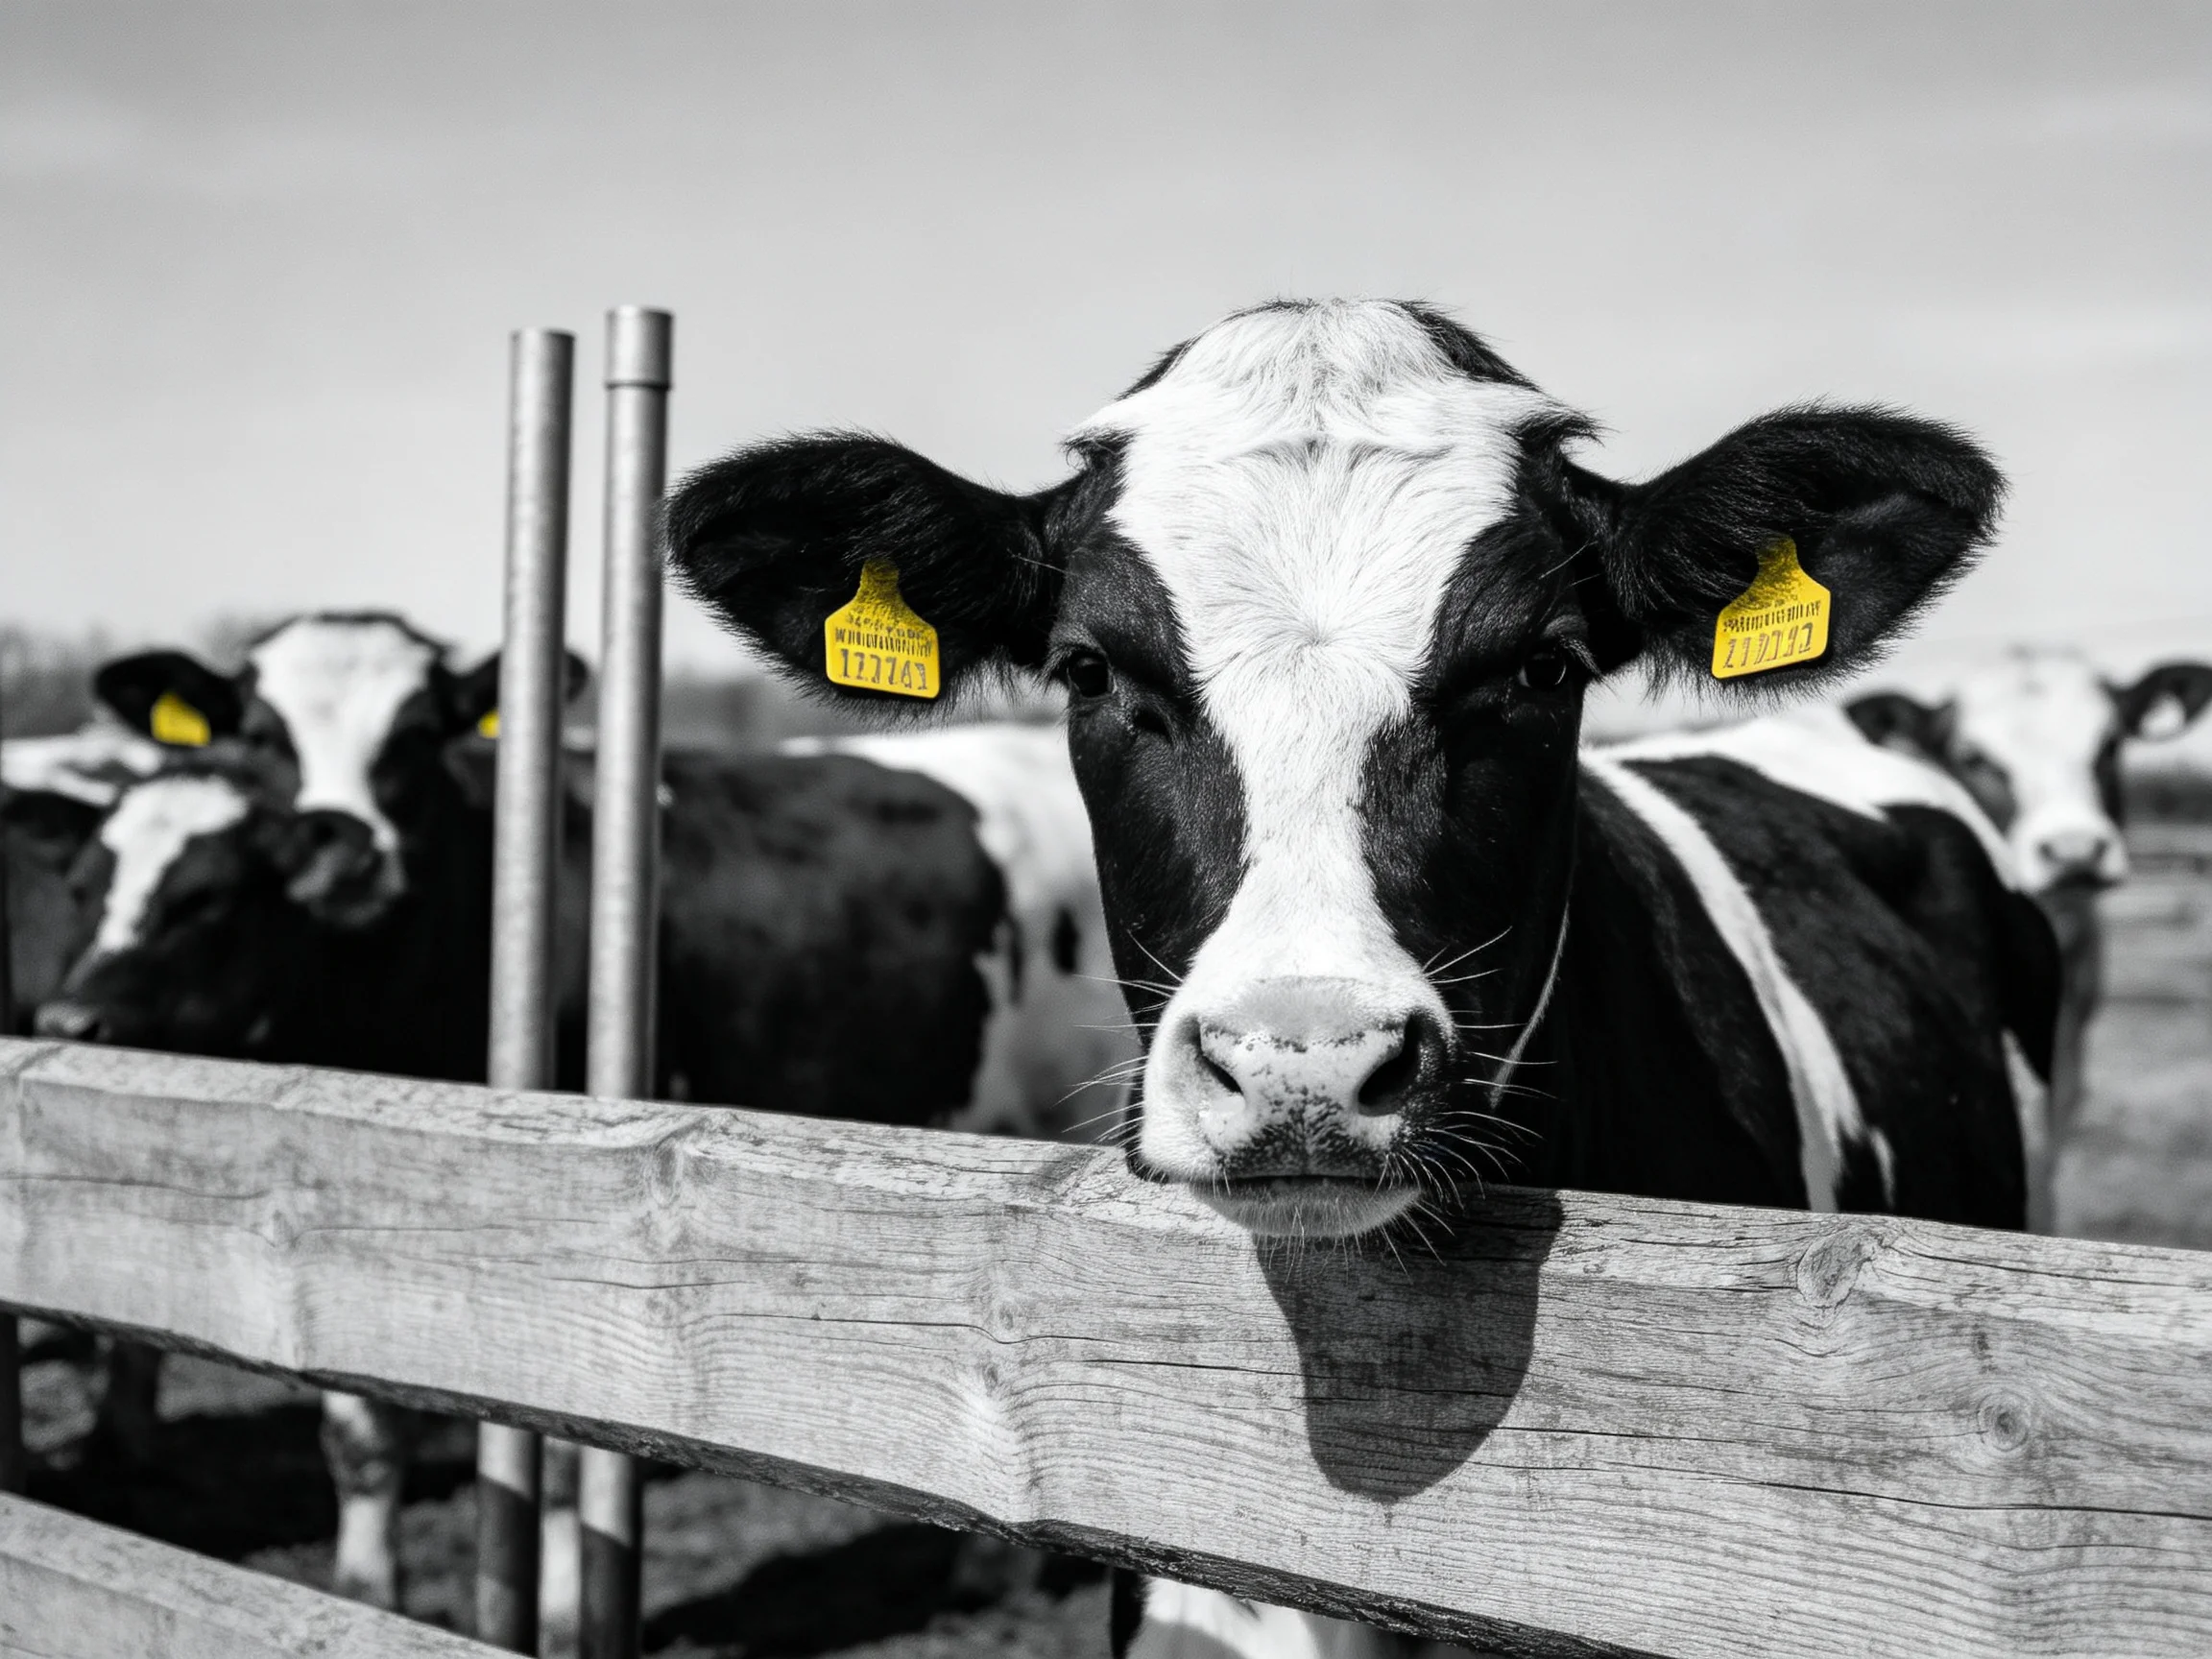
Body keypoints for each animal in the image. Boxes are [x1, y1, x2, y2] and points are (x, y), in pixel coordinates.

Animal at [41, 628, 1133, 1613]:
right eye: (261, 733)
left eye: (417, 735)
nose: (350, 854)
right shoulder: (308, 1196)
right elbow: (360, 1431)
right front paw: (366, 1591)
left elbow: (573, 1442)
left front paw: (566, 1618)